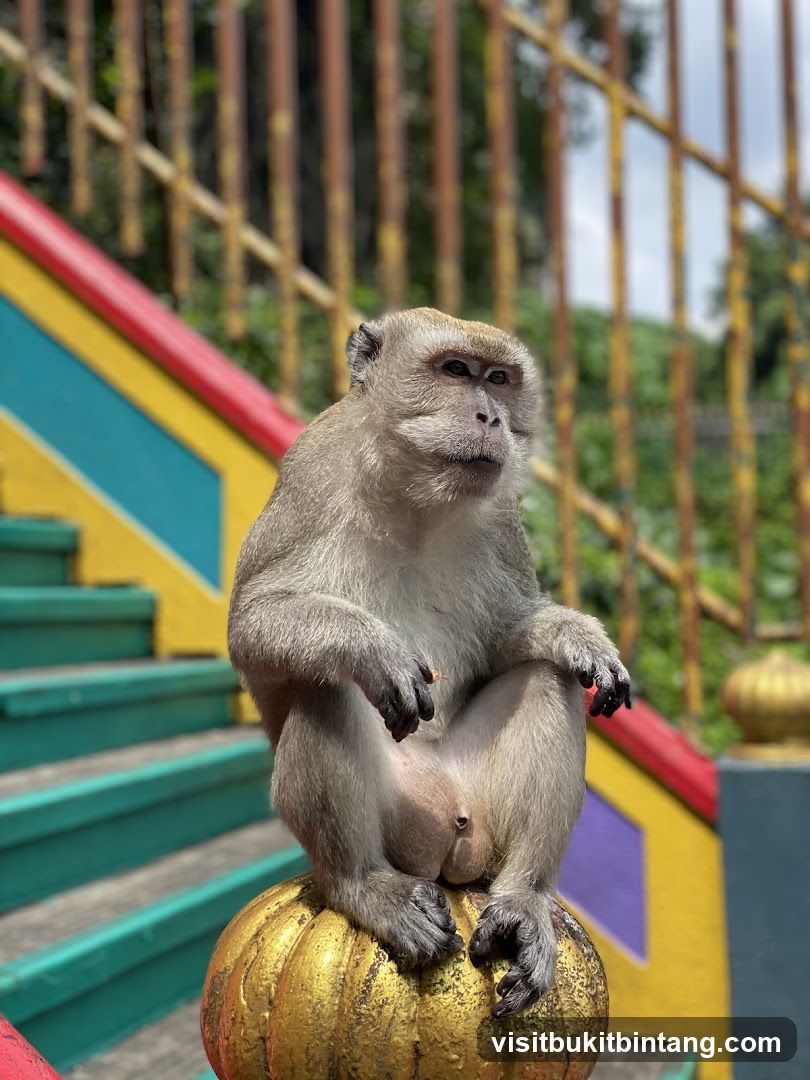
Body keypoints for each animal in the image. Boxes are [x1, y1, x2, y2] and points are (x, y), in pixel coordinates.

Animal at [228, 308, 631, 1018]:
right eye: (455, 370)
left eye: (498, 380)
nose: (491, 417)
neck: (415, 498)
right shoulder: (311, 474)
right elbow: (252, 623)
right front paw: (373, 646)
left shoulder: (502, 518)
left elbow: (507, 636)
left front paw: (578, 636)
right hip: (401, 821)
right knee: (326, 684)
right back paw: (365, 885)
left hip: (478, 807)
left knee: (544, 680)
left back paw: (524, 899)